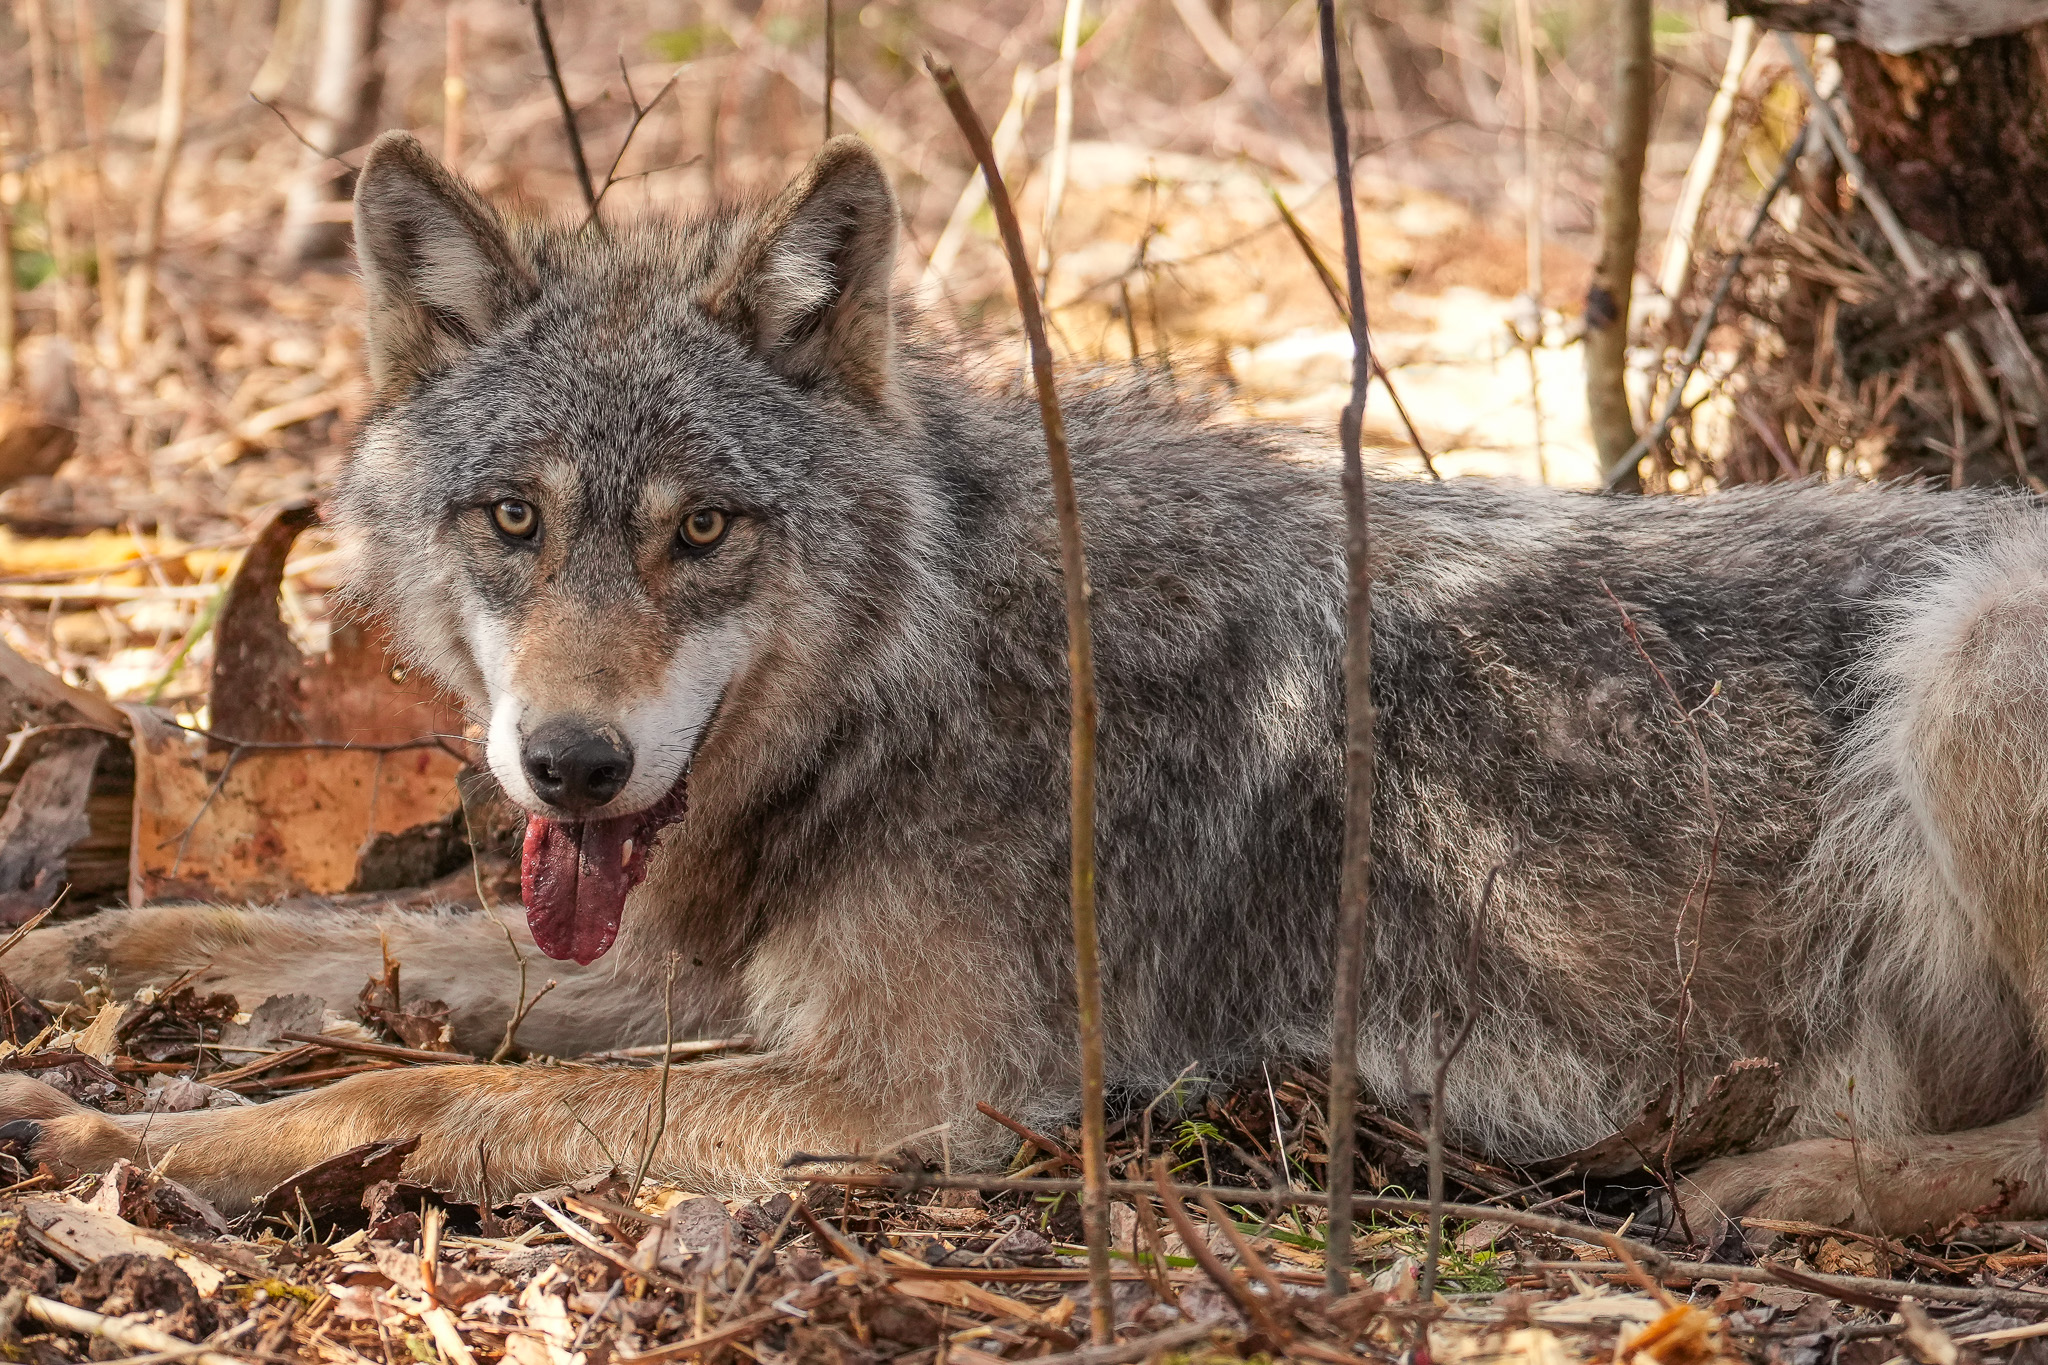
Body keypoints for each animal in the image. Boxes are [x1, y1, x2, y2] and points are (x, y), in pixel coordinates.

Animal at [4, 136, 2048, 1236]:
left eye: (703, 532)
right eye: (516, 520)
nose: (570, 766)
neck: (918, 665)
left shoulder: (929, 1100)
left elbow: (434, 1098)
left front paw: (121, 1140)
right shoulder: (680, 968)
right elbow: (302, 941)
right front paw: (65, 971)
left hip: (1965, 658)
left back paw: (1800, 1181)